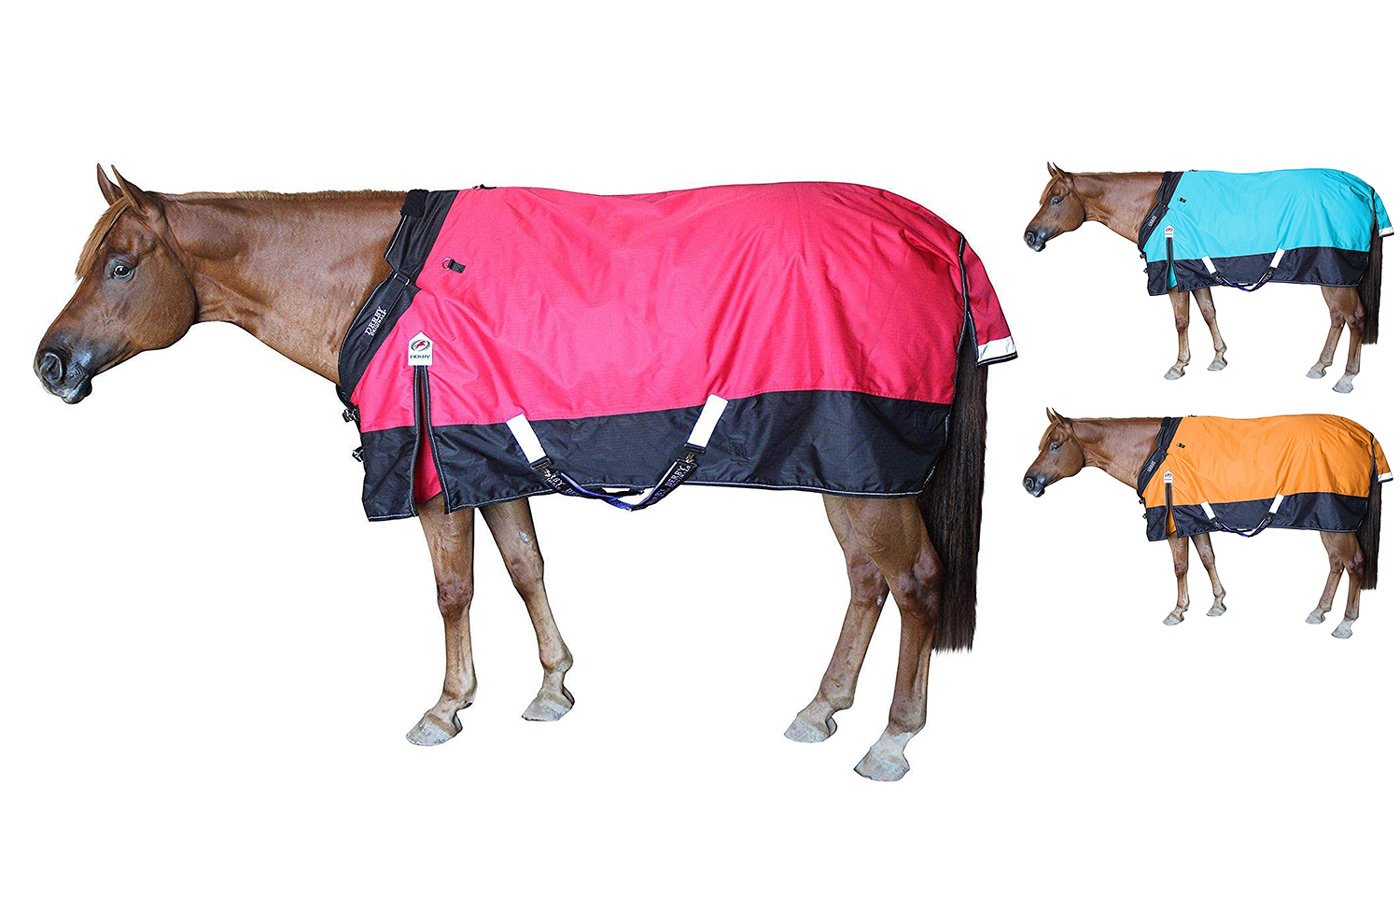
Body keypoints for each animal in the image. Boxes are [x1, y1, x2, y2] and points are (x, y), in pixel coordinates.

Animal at [33, 166, 1003, 780]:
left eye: (119, 265)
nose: (49, 365)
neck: (385, 284)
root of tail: (944, 237)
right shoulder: (487, 463)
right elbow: (526, 568)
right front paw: (551, 688)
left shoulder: (431, 472)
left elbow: (454, 589)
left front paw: (445, 708)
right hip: (850, 469)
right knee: (867, 583)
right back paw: (820, 709)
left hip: (864, 465)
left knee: (915, 581)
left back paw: (891, 742)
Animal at [1021, 409, 1387, 638]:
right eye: (1042, 444)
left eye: (1055, 445)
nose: (1028, 482)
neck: (1155, 452)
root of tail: (1364, 434)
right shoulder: (1194, 520)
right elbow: (1208, 558)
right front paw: (1218, 603)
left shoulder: (1172, 523)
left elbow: (1181, 567)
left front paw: (1177, 611)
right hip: (1330, 522)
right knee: (1336, 563)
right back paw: (1319, 611)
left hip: (1336, 520)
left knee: (1354, 563)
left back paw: (1345, 623)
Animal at [1023, 164, 1388, 393]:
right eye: (1043, 199)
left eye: (1056, 199)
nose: (1029, 236)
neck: (1156, 207)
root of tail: (1365, 189)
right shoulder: (1194, 274)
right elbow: (1209, 313)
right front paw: (1218, 358)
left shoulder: (1173, 277)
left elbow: (1182, 321)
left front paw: (1178, 365)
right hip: (1330, 276)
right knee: (1337, 318)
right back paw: (1320, 365)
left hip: (1337, 274)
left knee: (1355, 317)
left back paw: (1346, 378)